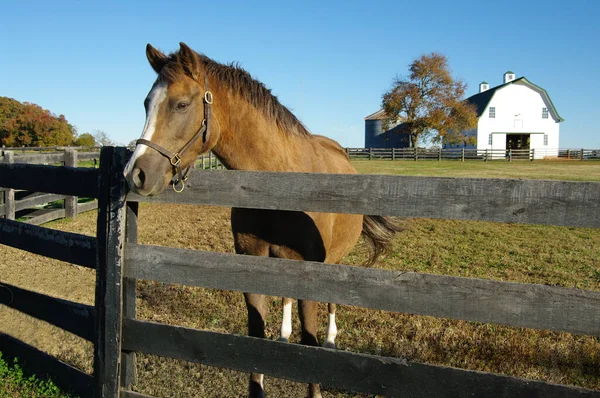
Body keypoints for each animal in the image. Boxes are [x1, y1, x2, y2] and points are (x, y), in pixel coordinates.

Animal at [124, 42, 400, 396]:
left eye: (181, 104)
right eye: (147, 103)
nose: (136, 174)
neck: (279, 185)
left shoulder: (311, 274)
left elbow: (310, 343)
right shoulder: (253, 264)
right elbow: (256, 337)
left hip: (333, 261)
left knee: (331, 305)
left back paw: (331, 340)